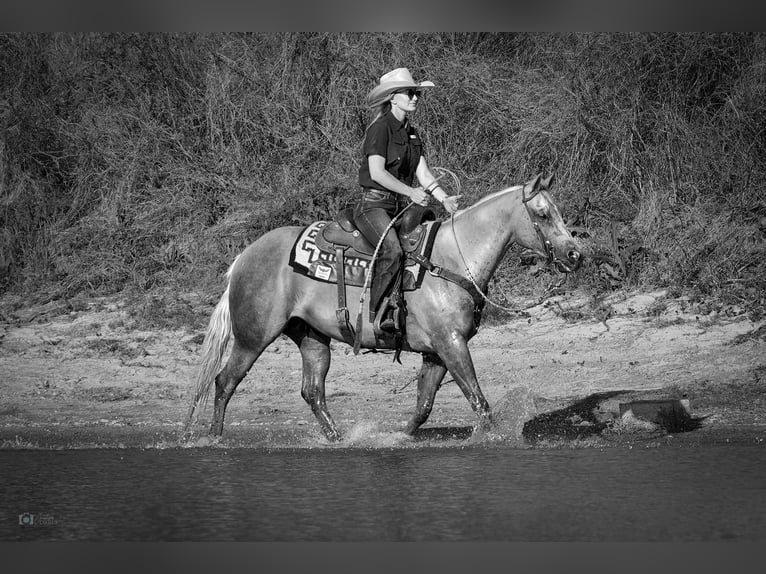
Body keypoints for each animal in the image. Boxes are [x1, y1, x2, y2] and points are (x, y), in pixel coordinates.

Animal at [184, 173, 584, 444]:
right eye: (543, 214)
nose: (575, 255)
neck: (451, 259)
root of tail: (243, 257)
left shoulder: (437, 352)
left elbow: (424, 406)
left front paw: (400, 437)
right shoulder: (452, 344)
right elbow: (478, 399)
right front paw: (495, 437)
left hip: (312, 338)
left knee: (313, 391)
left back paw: (338, 439)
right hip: (253, 337)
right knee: (225, 381)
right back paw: (214, 438)